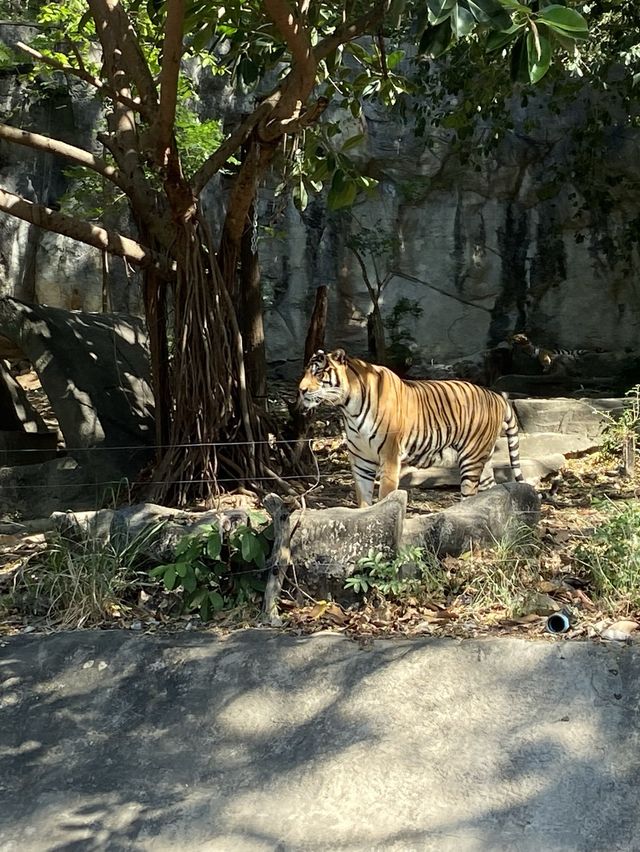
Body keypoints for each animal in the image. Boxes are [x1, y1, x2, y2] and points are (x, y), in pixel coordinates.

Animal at [298, 350, 524, 510]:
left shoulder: (389, 456)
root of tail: (496, 396)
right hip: (483, 459)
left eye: (318, 372)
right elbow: (363, 499)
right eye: (306, 371)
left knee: (470, 494)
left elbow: (385, 495)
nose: (301, 390)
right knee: (490, 489)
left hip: (472, 458)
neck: (349, 407)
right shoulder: (361, 459)